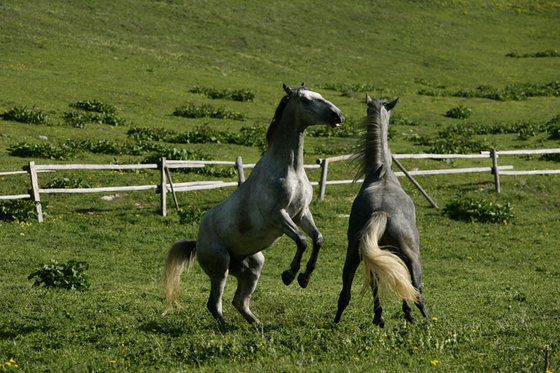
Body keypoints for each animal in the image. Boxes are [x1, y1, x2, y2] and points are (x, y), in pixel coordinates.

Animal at [164, 83, 344, 322]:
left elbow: (318, 240)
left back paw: (257, 324)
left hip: (253, 266)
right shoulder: (278, 215)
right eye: (306, 100)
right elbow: (302, 240)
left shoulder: (301, 214)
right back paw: (227, 326)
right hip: (220, 267)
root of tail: (197, 242)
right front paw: (289, 275)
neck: (290, 169)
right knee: (214, 304)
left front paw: (304, 279)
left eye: (320, 95)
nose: (338, 115)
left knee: (239, 301)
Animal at [334, 94, 430, 326]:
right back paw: (423, 318)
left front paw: (380, 316)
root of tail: (382, 211)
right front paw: (403, 314)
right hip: (413, 257)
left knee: (346, 291)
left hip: (354, 253)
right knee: (417, 289)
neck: (382, 174)